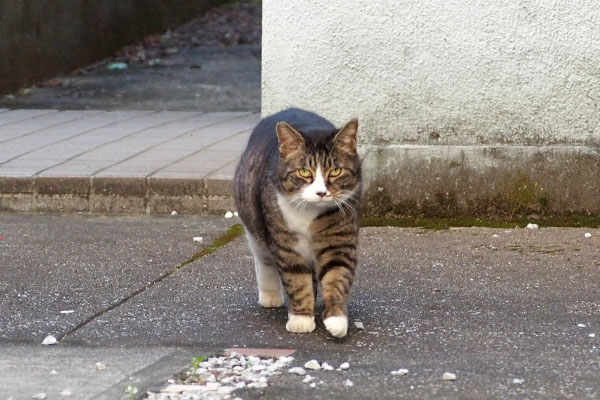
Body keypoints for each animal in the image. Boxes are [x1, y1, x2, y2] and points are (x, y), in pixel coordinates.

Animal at [233, 107, 360, 338]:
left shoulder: (339, 241)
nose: (321, 193)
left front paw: (336, 319)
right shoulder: (286, 244)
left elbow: (337, 276)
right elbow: (297, 280)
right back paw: (270, 296)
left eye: (335, 171)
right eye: (304, 172)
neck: (309, 213)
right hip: (253, 222)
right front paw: (301, 319)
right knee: (263, 258)